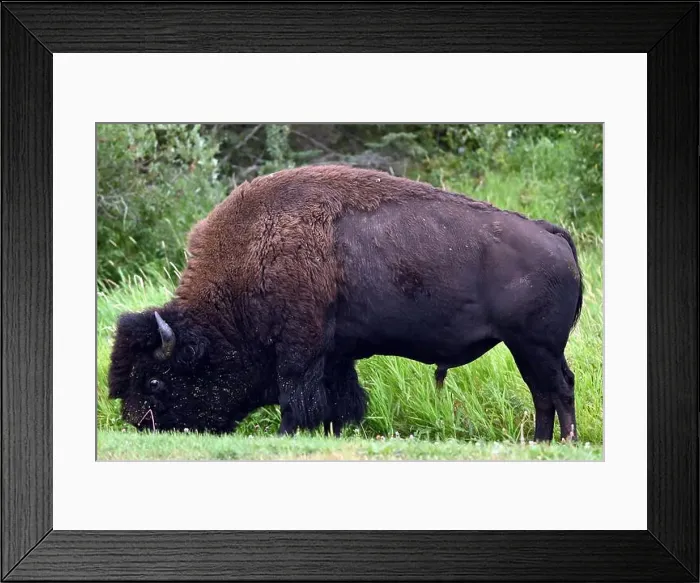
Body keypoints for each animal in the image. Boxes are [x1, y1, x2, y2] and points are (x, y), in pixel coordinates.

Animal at [108, 165, 583, 441]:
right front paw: (334, 431)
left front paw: (287, 433)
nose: (139, 424)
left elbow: (297, 393)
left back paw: (563, 441)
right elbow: (339, 397)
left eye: (154, 381)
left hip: (535, 346)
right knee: (545, 392)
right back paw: (541, 443)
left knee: (557, 389)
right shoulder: (335, 353)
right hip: (529, 349)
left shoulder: (299, 347)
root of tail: (551, 233)